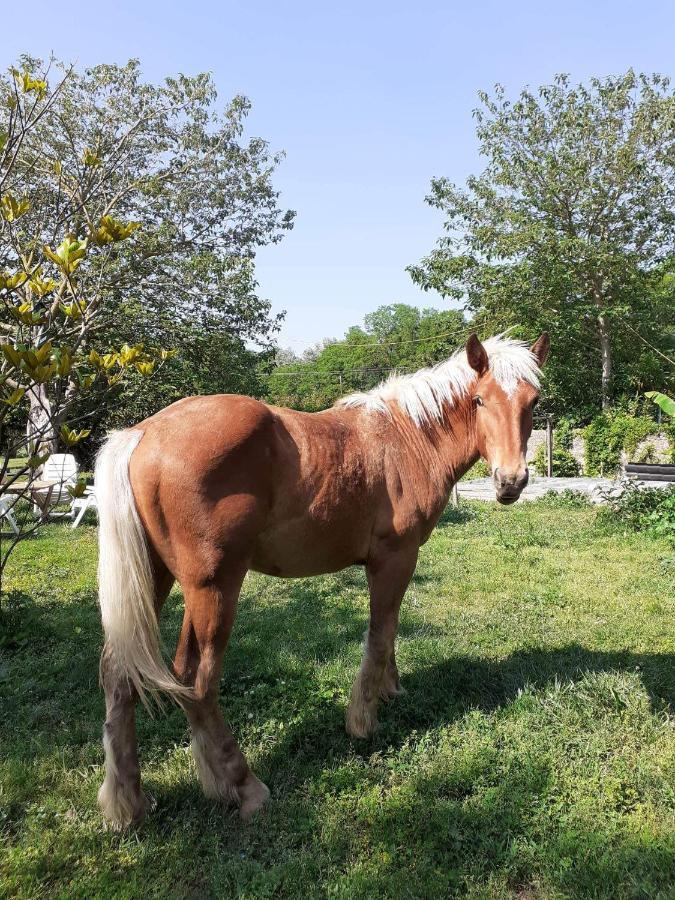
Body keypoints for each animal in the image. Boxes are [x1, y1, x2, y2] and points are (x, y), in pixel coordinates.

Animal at [95, 332, 548, 828]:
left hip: (154, 581)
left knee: (118, 676)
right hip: (213, 589)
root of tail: (143, 434)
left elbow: (389, 633)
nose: (511, 481)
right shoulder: (394, 558)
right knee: (196, 684)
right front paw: (363, 719)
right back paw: (243, 786)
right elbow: (380, 632)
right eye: (480, 399)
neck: (409, 438)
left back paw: (129, 804)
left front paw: (390, 690)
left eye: (533, 401)